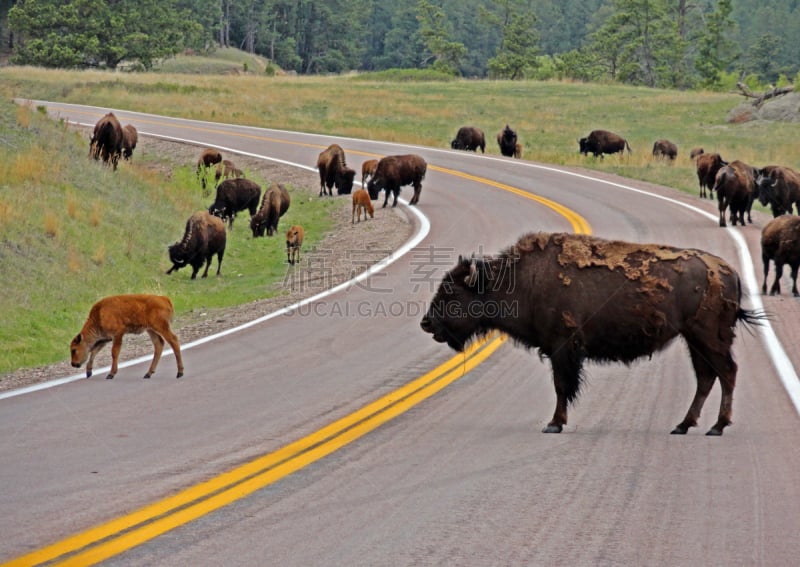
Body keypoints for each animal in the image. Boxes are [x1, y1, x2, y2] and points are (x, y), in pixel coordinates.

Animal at [418, 233, 764, 438]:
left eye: (452, 293)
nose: (427, 323)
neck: (523, 280)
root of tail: (728, 272)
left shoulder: (563, 349)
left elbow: (561, 386)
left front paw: (554, 423)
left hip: (708, 338)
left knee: (726, 373)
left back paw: (717, 427)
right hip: (694, 341)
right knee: (707, 377)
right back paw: (683, 425)